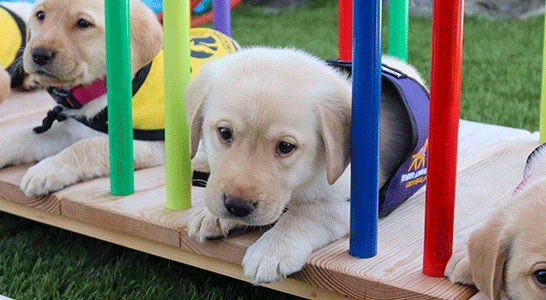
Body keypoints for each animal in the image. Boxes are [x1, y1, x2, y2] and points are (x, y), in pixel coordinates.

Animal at [185, 46, 428, 284]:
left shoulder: (355, 205)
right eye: (225, 133)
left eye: (285, 147)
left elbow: (306, 213)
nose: (237, 206)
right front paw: (211, 215)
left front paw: (272, 251)